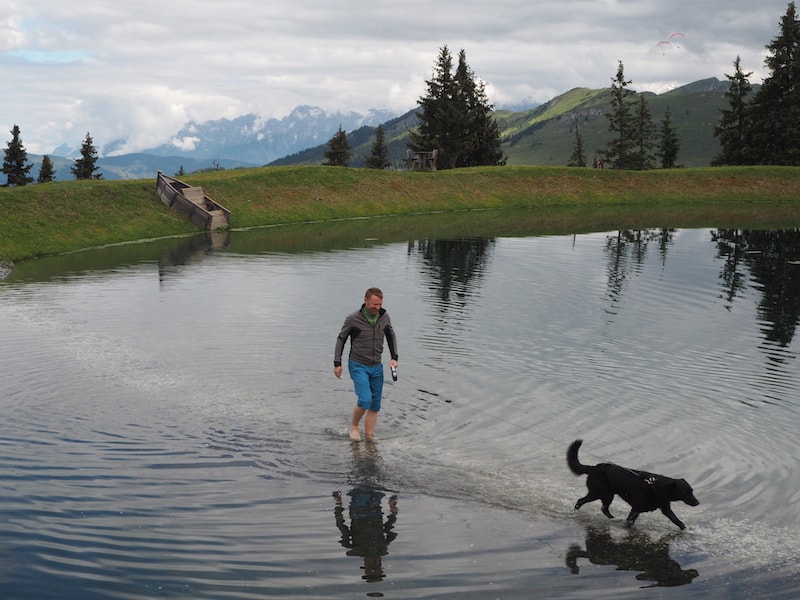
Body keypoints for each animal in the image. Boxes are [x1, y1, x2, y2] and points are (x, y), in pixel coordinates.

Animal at [564, 440, 696, 528]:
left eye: (692, 491)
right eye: (686, 492)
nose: (697, 502)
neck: (655, 487)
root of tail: (593, 468)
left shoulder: (665, 509)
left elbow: (676, 520)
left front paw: (685, 529)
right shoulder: (636, 508)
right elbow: (630, 521)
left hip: (598, 493)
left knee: (584, 502)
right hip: (605, 494)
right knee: (600, 507)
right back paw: (613, 519)